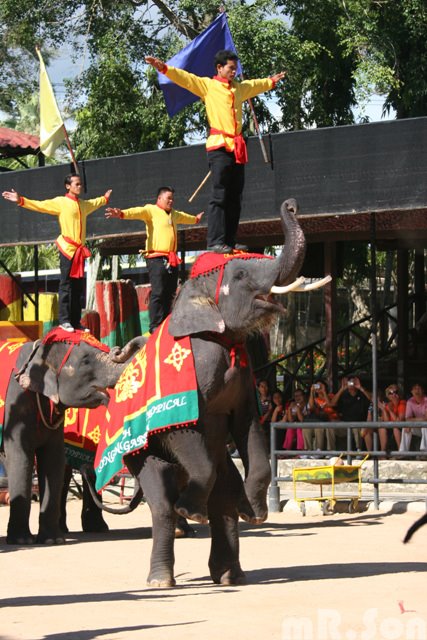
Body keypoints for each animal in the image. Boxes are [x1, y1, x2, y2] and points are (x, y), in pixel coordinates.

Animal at [2, 332, 147, 548]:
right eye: (86, 361)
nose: (117, 350)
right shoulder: (16, 404)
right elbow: (21, 458)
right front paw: (22, 541)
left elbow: (53, 461)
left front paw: (53, 540)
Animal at [89, 199, 320, 584]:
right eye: (239, 276)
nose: (291, 204)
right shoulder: (186, 380)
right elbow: (184, 428)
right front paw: (192, 512)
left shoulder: (243, 379)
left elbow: (248, 425)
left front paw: (255, 514)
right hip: (137, 452)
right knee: (162, 501)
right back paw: (162, 577)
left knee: (222, 496)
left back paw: (229, 575)